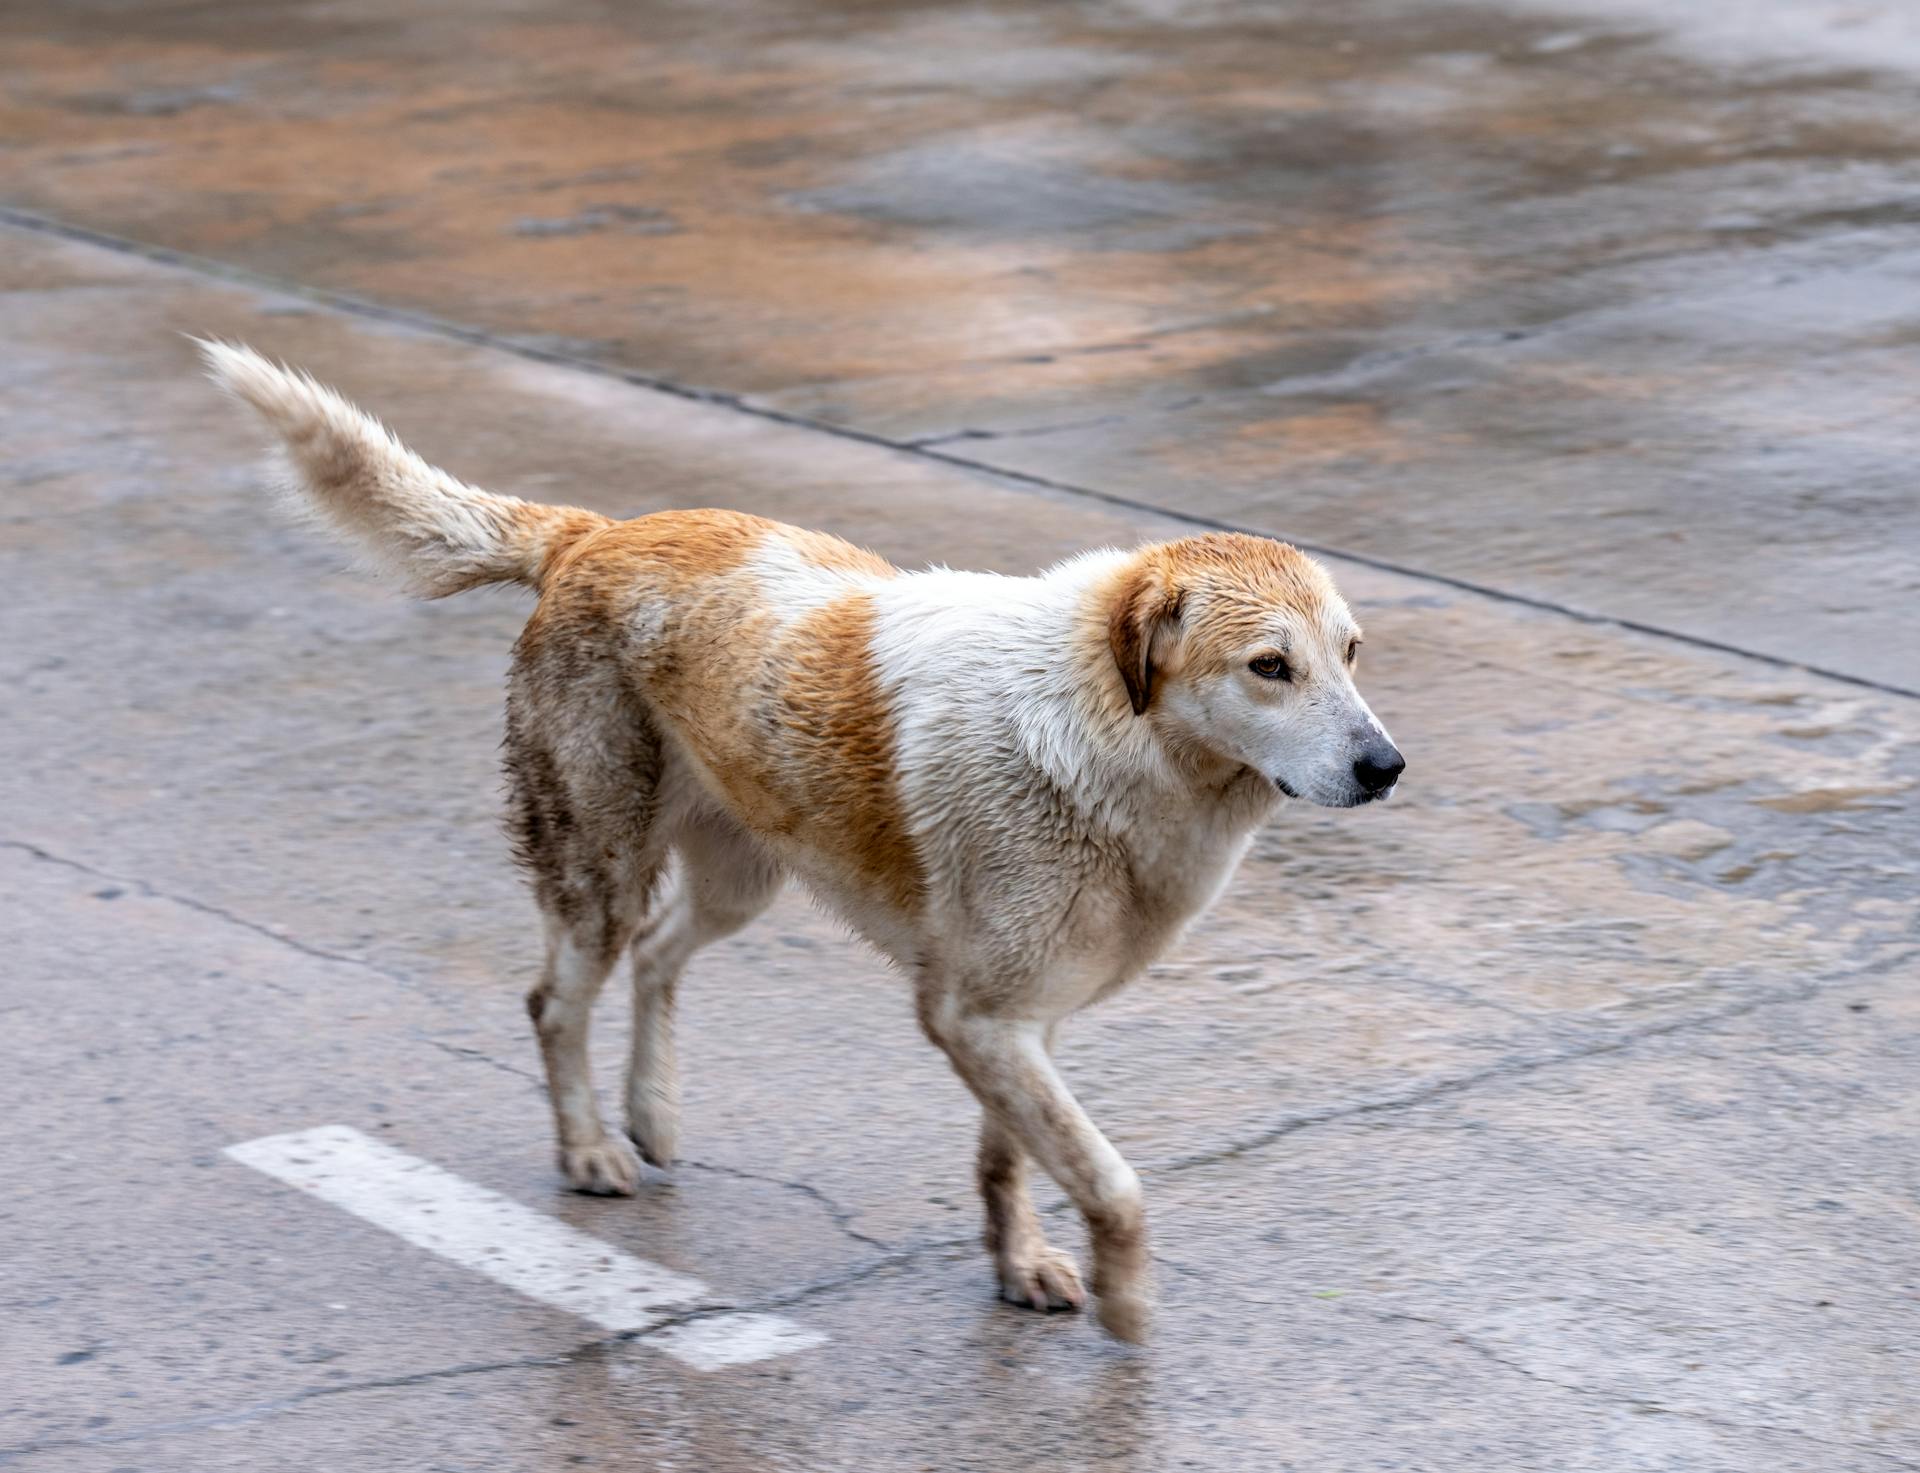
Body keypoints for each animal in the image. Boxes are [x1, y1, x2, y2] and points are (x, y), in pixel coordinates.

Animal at [206, 339, 1413, 1344]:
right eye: (1270, 666)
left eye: (1351, 653)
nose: (1387, 766)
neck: (1103, 732)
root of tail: (593, 534)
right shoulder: (980, 1017)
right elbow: (1110, 1179)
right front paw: (1125, 1302)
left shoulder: (1015, 1019)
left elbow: (1015, 1159)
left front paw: (1018, 1266)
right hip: (599, 869)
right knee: (556, 999)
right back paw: (591, 1147)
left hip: (742, 875)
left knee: (659, 958)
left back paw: (651, 1115)